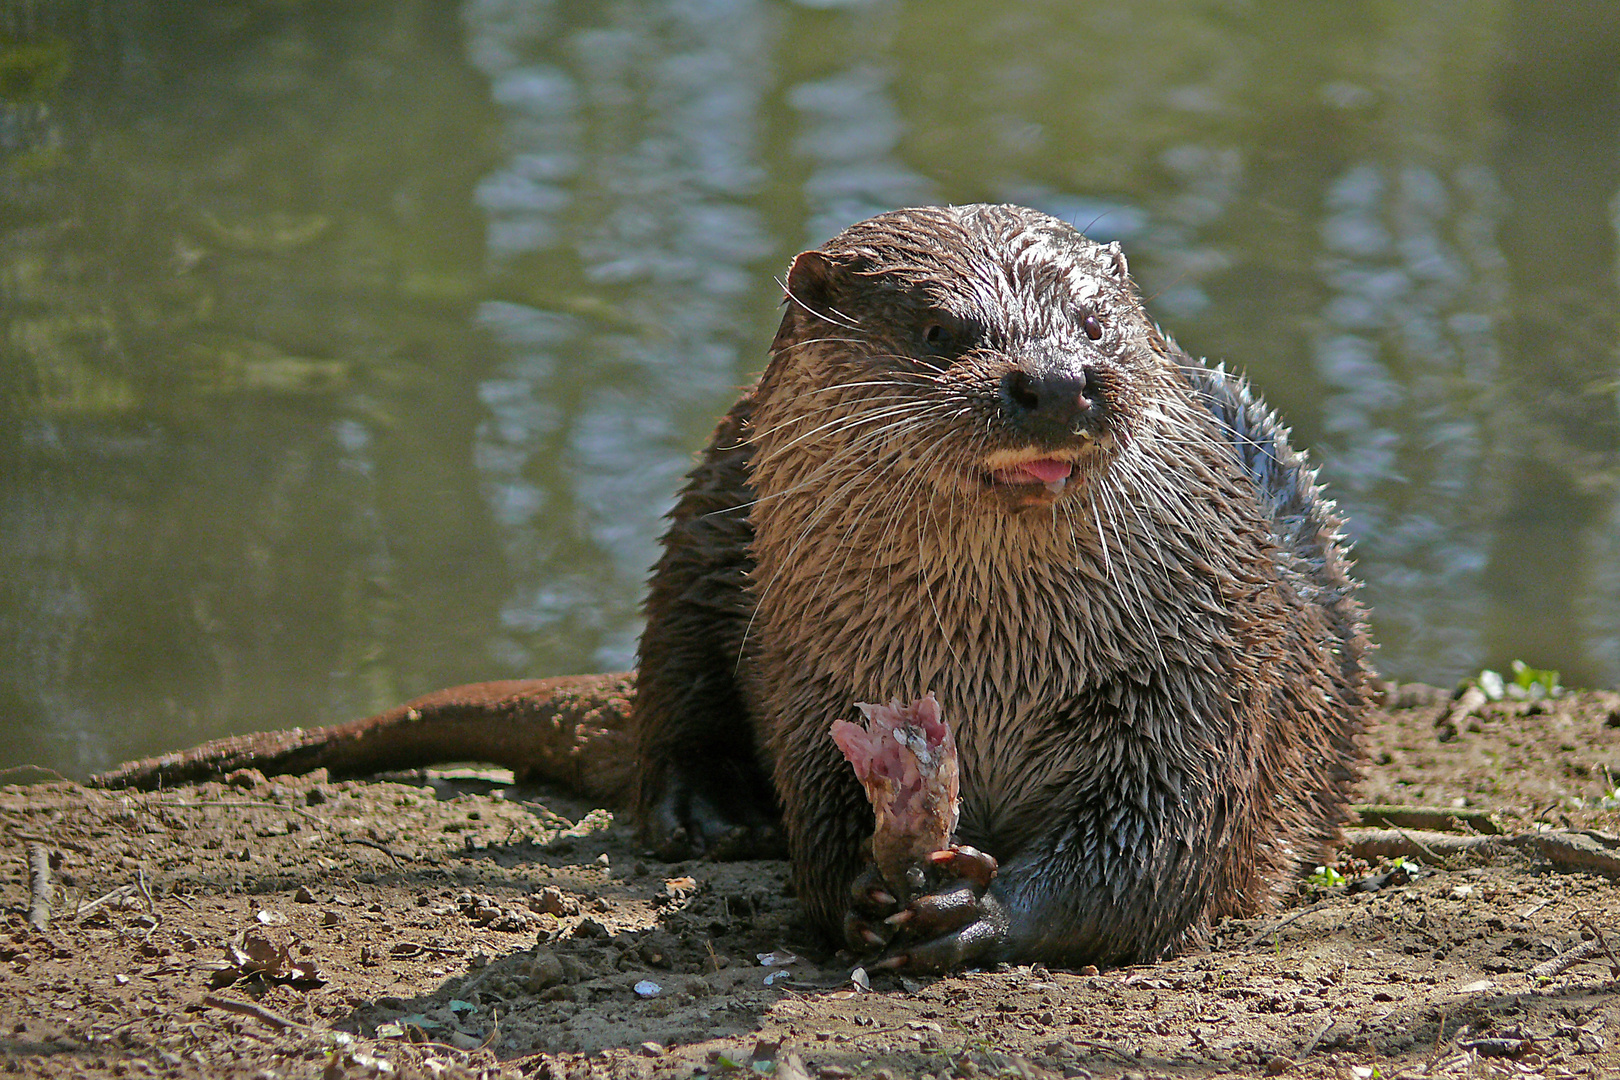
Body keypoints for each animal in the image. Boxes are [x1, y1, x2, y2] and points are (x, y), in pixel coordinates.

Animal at [98, 202, 1367, 971]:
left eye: (1098, 324)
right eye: (941, 330)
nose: (1057, 381)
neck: (990, 661)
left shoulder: (1198, 672)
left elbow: (1157, 840)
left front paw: (977, 912)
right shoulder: (814, 674)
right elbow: (815, 795)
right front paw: (857, 883)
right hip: (715, 504)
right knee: (672, 673)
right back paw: (708, 809)